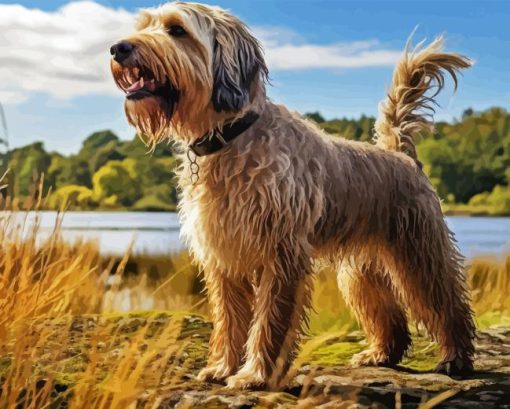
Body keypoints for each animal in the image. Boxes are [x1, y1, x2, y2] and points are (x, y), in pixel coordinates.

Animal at [109, 0, 476, 388]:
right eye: (145, 26)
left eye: (177, 30)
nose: (118, 48)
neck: (232, 136)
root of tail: (401, 154)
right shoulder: (224, 256)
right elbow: (230, 320)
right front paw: (223, 367)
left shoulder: (281, 254)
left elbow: (269, 322)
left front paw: (256, 374)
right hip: (361, 271)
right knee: (389, 317)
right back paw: (380, 354)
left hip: (421, 256)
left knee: (449, 305)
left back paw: (456, 359)